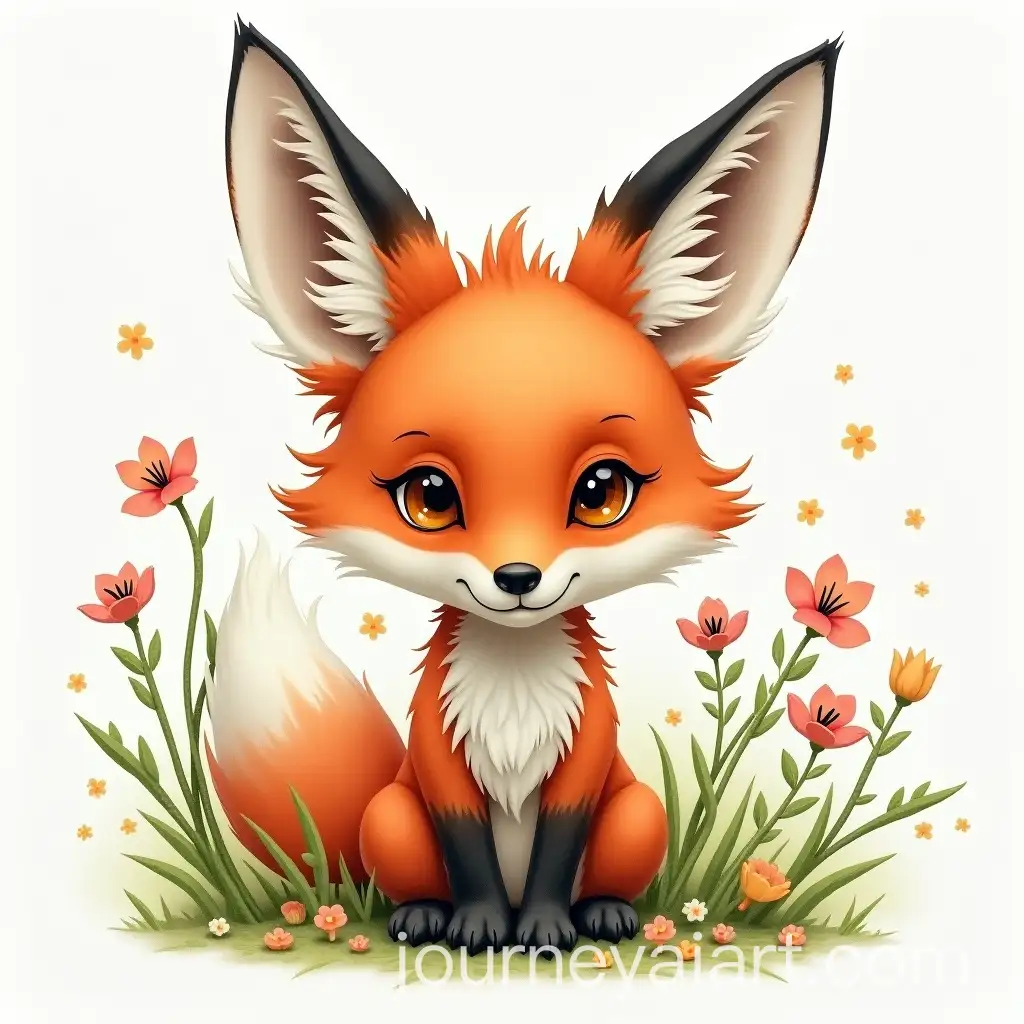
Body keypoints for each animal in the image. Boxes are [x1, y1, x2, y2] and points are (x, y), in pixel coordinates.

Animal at [207, 19, 841, 955]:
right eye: (430, 497)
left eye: (603, 490)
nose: (516, 578)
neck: (512, 684)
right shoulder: (437, 758)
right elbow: (468, 842)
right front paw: (478, 924)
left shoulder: (588, 757)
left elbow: (556, 848)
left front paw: (541, 929)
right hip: (389, 814)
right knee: (403, 870)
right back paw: (421, 915)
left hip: (640, 813)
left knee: (611, 862)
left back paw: (606, 912)